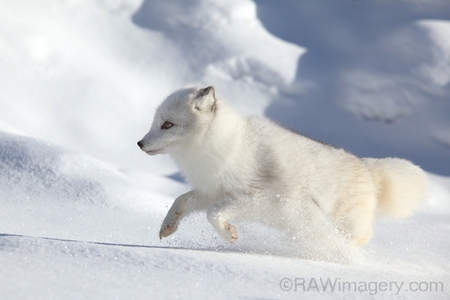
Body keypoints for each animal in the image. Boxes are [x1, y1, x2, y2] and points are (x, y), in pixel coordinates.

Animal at [137, 84, 428, 246]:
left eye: (168, 124)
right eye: (155, 122)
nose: (139, 143)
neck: (231, 145)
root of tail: (367, 167)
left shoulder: (261, 197)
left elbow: (213, 213)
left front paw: (229, 234)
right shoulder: (214, 191)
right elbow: (181, 201)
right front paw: (167, 226)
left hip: (343, 222)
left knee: (359, 238)